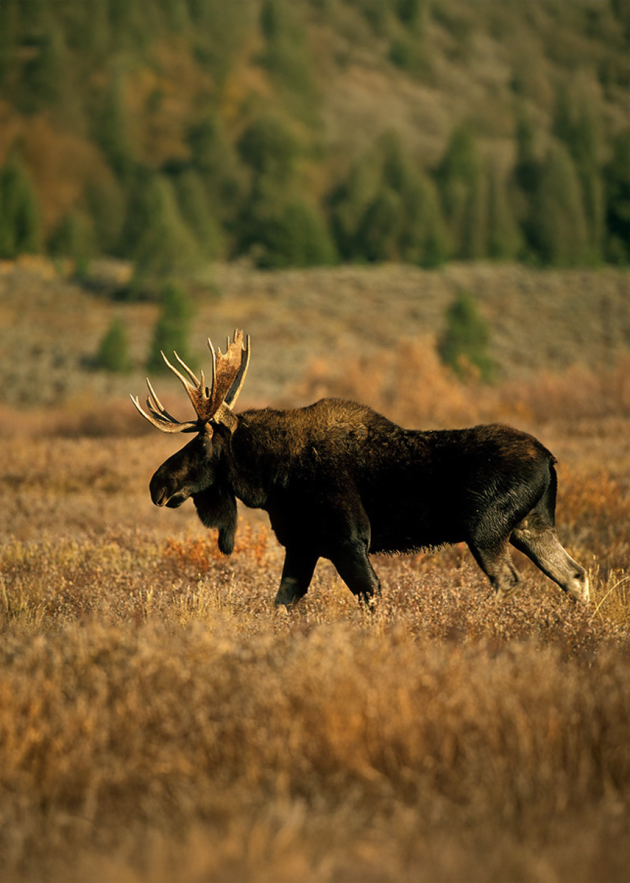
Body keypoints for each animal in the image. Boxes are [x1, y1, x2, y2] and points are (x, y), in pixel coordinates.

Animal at [132, 330, 589, 609]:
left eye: (201, 441)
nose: (157, 484)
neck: (270, 478)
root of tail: (550, 459)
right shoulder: (302, 544)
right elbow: (281, 603)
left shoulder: (348, 540)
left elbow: (372, 598)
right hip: (531, 526)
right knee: (576, 575)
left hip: (486, 529)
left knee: (508, 581)